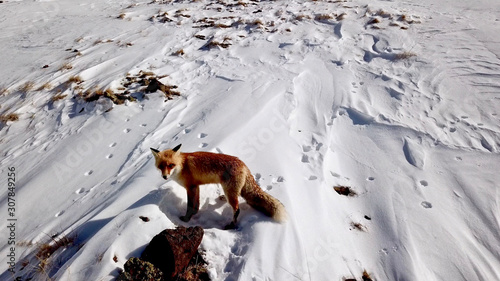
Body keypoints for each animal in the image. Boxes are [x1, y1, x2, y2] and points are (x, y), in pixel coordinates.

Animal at [150, 143, 288, 229]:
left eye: (171, 165)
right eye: (161, 166)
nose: (165, 177)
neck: (182, 166)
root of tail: (243, 164)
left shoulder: (191, 187)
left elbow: (190, 206)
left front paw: (186, 219)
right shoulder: (196, 186)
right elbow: (196, 205)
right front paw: (194, 214)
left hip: (230, 191)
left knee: (237, 209)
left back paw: (231, 225)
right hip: (229, 189)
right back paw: (222, 199)